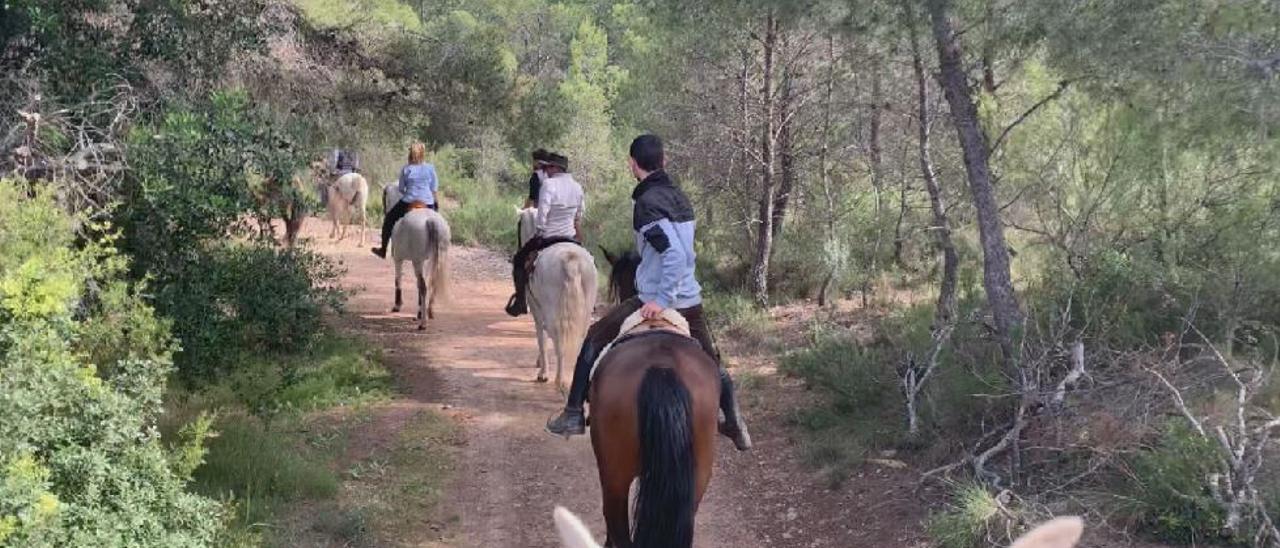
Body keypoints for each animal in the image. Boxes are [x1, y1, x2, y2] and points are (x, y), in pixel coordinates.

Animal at [378, 184, 450, 330]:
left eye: (384, 198)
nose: (384, 211)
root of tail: (430, 220)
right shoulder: (425, 261)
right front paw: (419, 310)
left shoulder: (398, 259)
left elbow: (398, 280)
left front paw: (397, 305)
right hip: (438, 258)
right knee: (432, 282)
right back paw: (429, 311)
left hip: (417, 261)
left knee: (423, 286)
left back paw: (423, 323)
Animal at [517, 204, 596, 389]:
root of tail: (571, 260)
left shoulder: (537, 310)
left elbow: (541, 337)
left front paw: (542, 368)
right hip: (585, 310)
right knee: (579, 337)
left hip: (551, 311)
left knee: (557, 337)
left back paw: (557, 378)